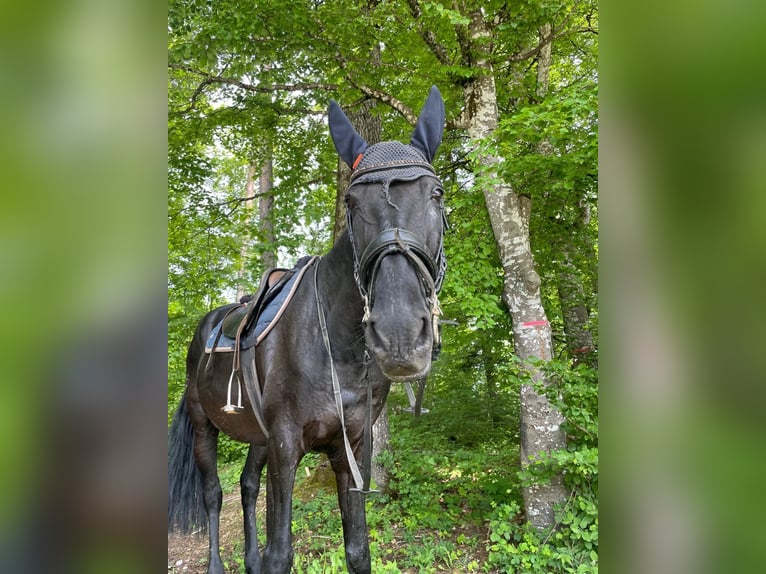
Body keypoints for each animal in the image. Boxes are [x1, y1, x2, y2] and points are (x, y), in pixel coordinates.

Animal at [165, 86, 448, 574]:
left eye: (436, 193)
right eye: (352, 203)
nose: (399, 337)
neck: (337, 346)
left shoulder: (353, 448)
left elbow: (357, 549)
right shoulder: (285, 444)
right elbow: (281, 552)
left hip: (255, 436)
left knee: (246, 485)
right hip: (206, 428)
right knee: (213, 493)